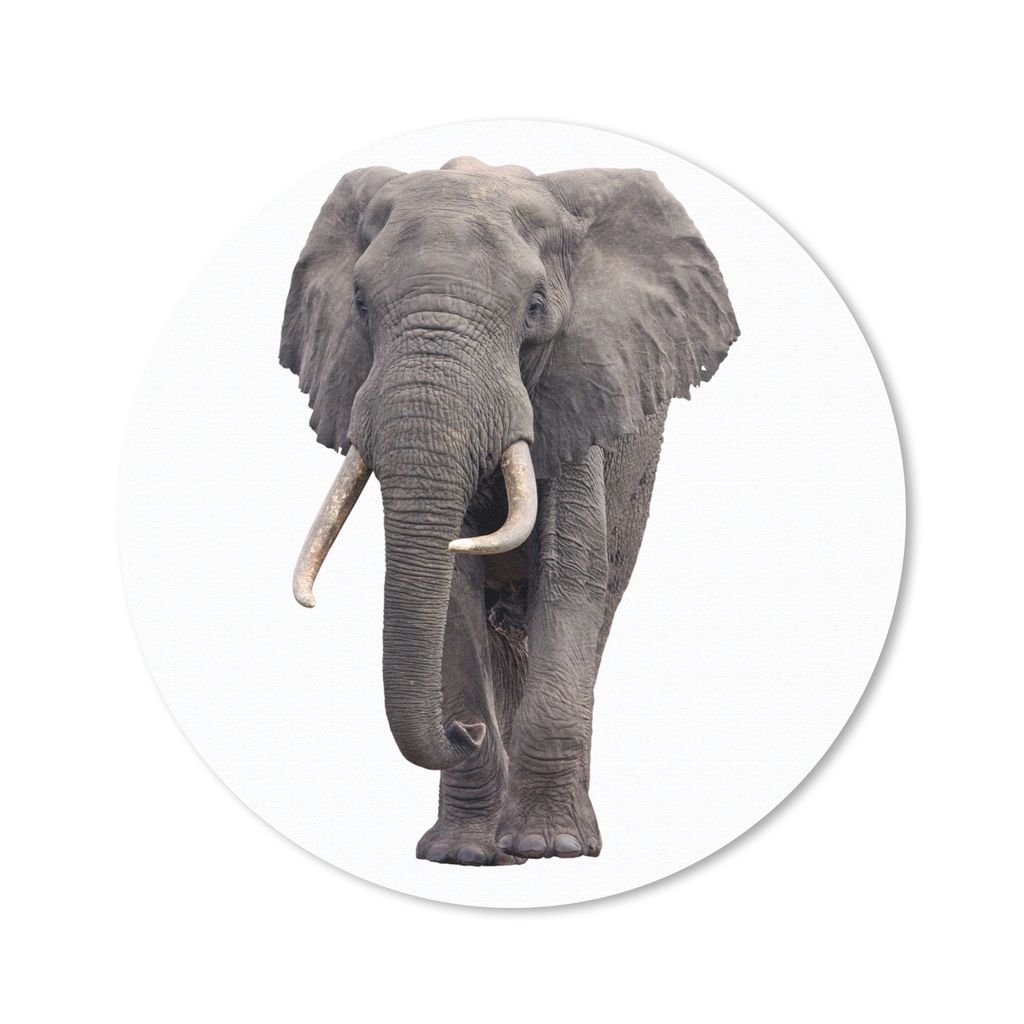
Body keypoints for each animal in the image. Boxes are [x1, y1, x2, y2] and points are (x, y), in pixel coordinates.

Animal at [280, 156, 738, 865]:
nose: (460, 730)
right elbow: (452, 601)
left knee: (597, 610)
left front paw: (554, 846)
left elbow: (570, 581)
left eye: (535, 308)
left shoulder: (579, 394)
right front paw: (465, 854)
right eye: (358, 303)